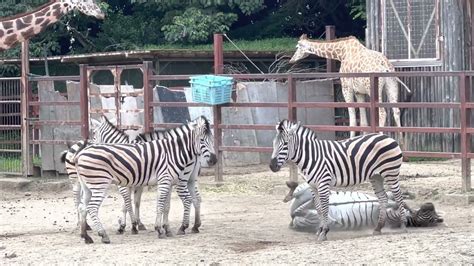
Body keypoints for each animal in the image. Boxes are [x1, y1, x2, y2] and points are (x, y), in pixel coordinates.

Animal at [74, 115, 217, 244]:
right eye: (202, 140)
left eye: (212, 139)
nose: (214, 160)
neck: (173, 152)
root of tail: (80, 154)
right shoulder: (159, 181)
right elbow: (147, 204)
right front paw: (155, 229)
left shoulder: (164, 182)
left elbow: (160, 206)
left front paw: (157, 228)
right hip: (99, 184)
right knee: (91, 207)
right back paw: (102, 235)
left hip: (89, 186)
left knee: (83, 207)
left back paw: (86, 236)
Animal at [268, 120, 410, 241]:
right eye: (273, 143)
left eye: (285, 144)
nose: (272, 166)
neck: (311, 156)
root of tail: (388, 137)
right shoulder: (313, 186)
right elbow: (318, 208)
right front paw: (320, 230)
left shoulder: (323, 183)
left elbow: (325, 208)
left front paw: (324, 232)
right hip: (375, 176)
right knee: (383, 198)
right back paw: (378, 228)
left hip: (391, 173)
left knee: (398, 196)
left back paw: (403, 226)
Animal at [286, 182, 444, 232]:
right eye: (430, 213)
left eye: (430, 219)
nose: (429, 204)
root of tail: (292, 218)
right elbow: (392, 197)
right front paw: (406, 197)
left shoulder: (389, 215)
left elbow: (392, 203)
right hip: (304, 191)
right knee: (298, 195)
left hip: (308, 218)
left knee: (305, 209)